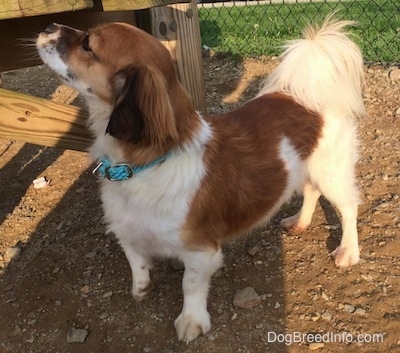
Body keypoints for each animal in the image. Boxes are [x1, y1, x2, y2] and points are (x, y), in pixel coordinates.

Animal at [37, 15, 366, 340]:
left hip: (332, 175)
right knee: (311, 192)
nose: (48, 26)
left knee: (348, 209)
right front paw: (141, 287)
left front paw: (191, 321)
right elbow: (135, 259)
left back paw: (348, 251)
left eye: (87, 44)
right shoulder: (127, 228)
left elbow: (191, 285)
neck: (148, 164)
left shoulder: (200, 251)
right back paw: (301, 221)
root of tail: (305, 97)